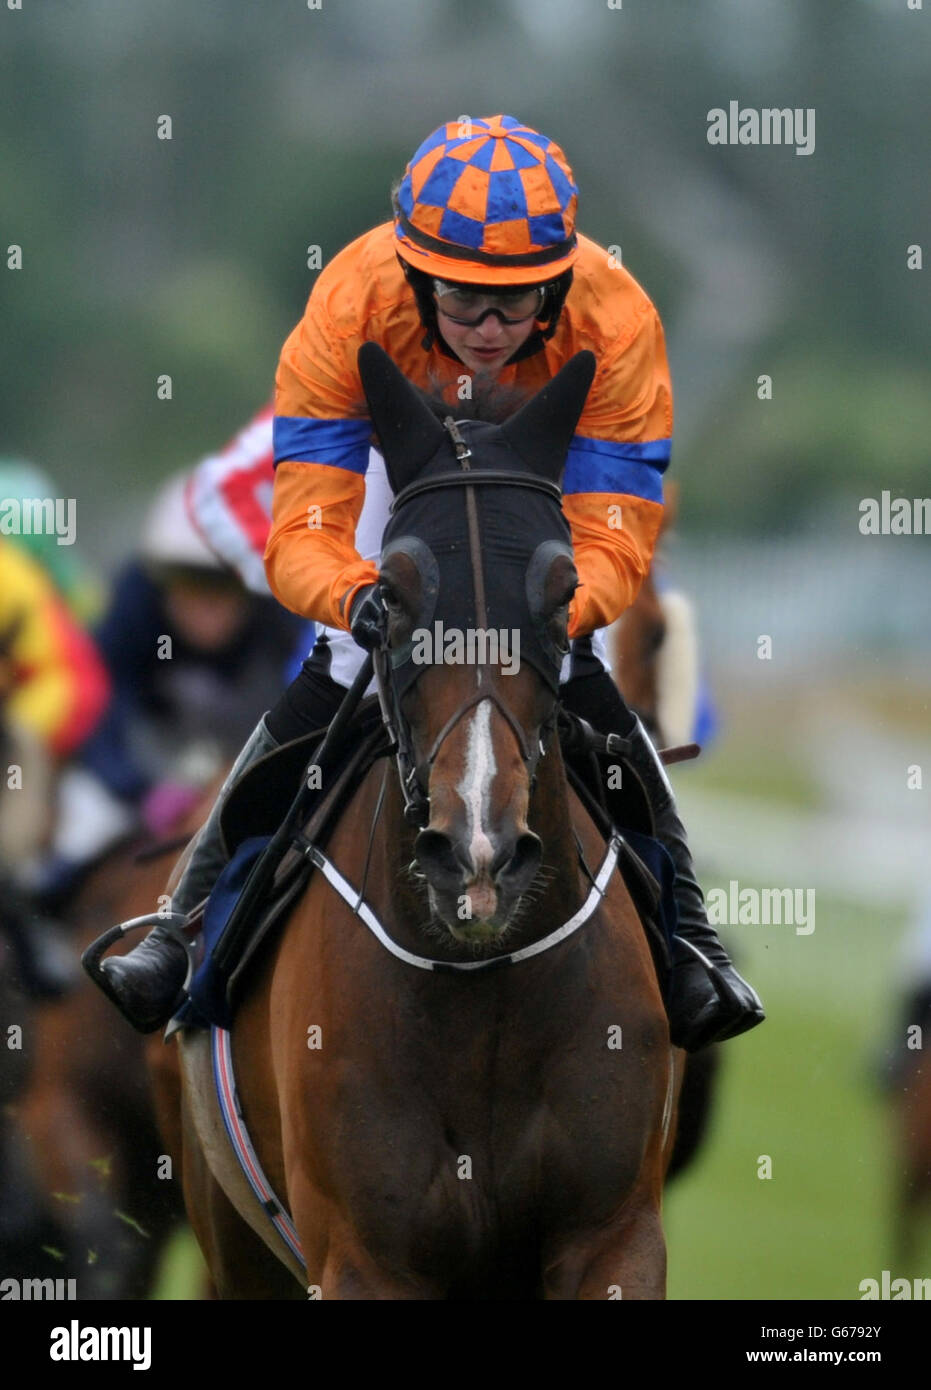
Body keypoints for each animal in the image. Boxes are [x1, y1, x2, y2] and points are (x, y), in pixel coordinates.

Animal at [175, 347, 680, 1301]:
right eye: (393, 594)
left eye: (563, 594)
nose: (478, 855)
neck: (481, 985)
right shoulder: (366, 1260)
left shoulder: (614, 1236)